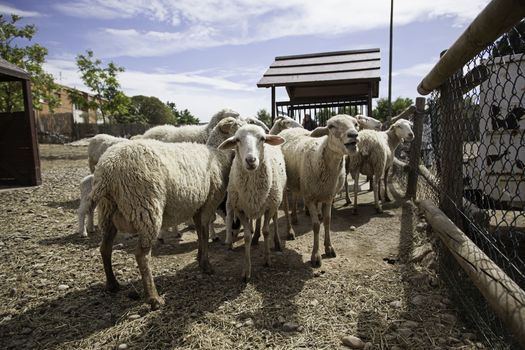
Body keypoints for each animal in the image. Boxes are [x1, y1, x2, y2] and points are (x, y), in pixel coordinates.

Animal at [90, 139, 233, 308]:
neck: (220, 159)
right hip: (145, 208)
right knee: (141, 255)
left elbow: (200, 232)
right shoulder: (208, 203)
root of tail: (107, 170)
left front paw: (199, 258)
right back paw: (153, 298)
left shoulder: (198, 206)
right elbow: (203, 234)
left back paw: (113, 284)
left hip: (107, 213)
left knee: (105, 248)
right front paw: (206, 265)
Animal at [218, 124, 286, 280]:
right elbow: (247, 236)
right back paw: (255, 238)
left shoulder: (270, 207)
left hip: (275, 200)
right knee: (256, 219)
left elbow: (266, 231)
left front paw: (267, 259)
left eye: (262, 138)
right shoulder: (240, 209)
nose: (251, 160)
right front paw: (246, 270)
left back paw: (277, 241)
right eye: (237, 140)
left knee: (274, 220)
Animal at [278, 113, 360, 266]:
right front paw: (315, 255)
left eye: (356, 124)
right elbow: (316, 226)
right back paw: (290, 231)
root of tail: (288, 130)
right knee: (285, 207)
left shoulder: (328, 196)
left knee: (296, 195)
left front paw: (329, 248)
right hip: (285, 183)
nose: (354, 135)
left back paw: (295, 217)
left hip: (299, 182)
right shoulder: (310, 198)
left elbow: (327, 221)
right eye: (331, 126)